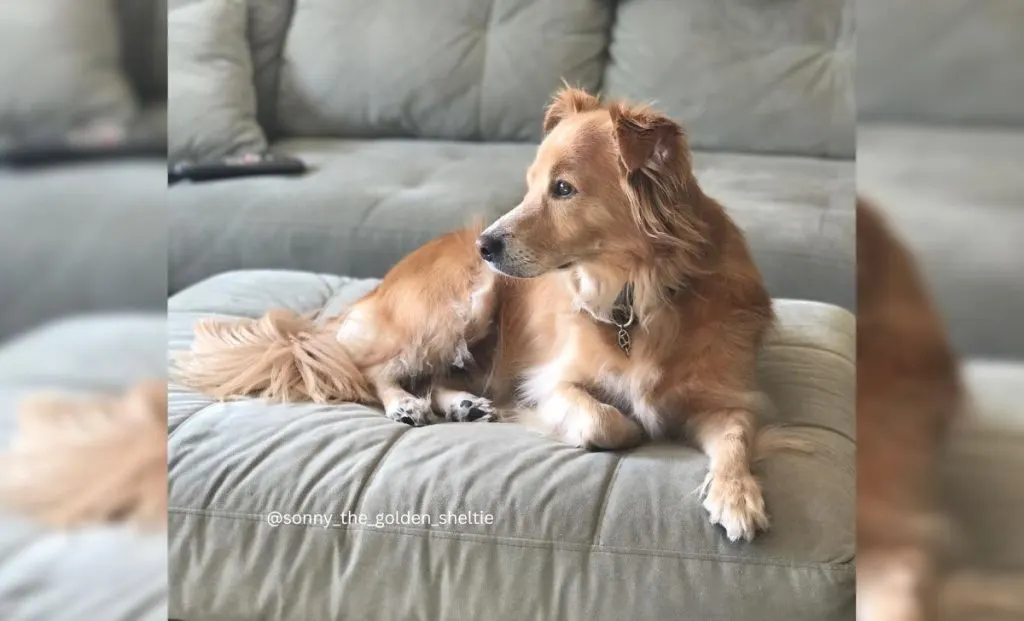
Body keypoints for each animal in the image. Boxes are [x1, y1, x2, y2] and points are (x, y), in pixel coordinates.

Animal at [180, 88, 778, 545]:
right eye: (530, 184)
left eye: (563, 189)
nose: (486, 244)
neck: (636, 297)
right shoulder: (552, 381)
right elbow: (610, 422)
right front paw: (625, 424)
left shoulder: (728, 398)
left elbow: (734, 439)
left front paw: (736, 495)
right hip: (463, 304)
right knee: (377, 369)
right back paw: (404, 405)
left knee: (439, 376)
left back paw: (463, 404)